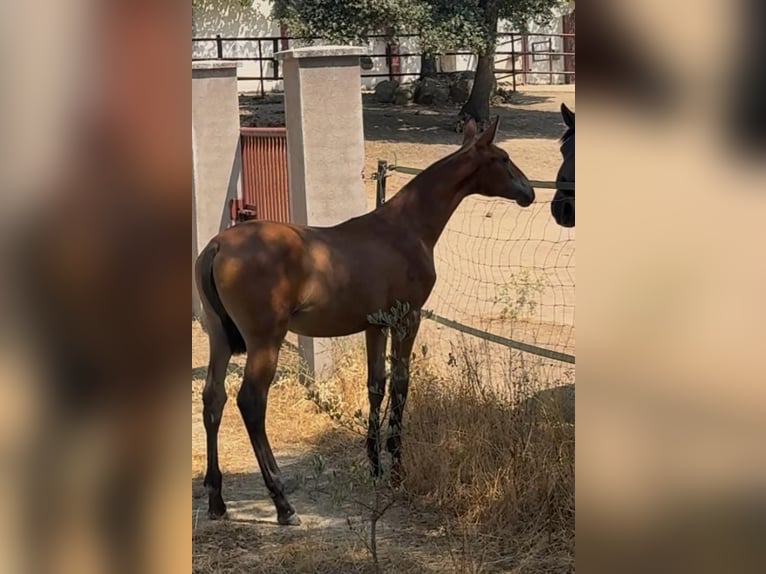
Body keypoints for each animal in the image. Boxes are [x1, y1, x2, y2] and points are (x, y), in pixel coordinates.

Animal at [194, 117, 535, 526]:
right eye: (503, 158)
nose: (530, 192)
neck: (406, 228)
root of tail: (217, 246)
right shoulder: (406, 319)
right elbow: (401, 385)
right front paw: (397, 468)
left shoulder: (375, 326)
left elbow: (376, 386)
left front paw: (374, 464)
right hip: (265, 341)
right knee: (251, 402)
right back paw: (282, 503)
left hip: (220, 338)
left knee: (214, 398)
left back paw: (216, 499)